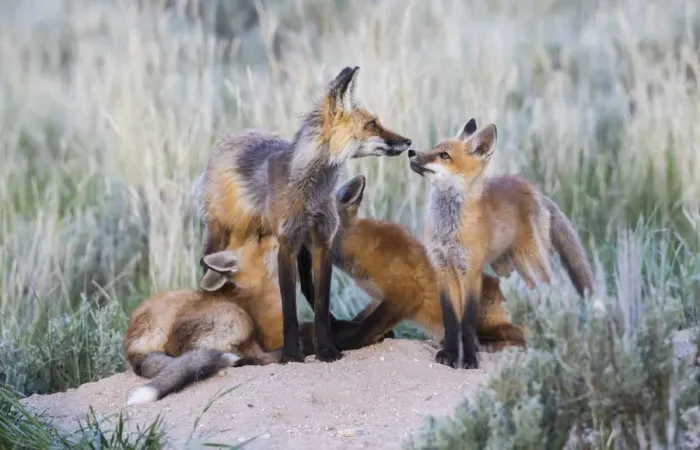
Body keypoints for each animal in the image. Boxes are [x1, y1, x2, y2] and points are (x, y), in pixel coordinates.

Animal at [195, 66, 412, 363]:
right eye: (372, 124)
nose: (408, 141)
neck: (312, 190)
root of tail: (234, 137)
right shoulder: (285, 242)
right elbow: (288, 308)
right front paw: (290, 354)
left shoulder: (322, 239)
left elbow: (320, 302)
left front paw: (327, 349)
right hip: (220, 234)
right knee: (207, 271)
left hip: (302, 247)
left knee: (309, 289)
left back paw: (337, 327)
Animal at [328, 174, 526, 352]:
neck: (358, 246)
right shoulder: (377, 297)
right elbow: (359, 319)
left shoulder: (404, 292)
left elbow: (368, 326)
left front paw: (345, 344)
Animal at [407, 118, 594, 369]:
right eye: (434, 147)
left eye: (444, 155)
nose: (411, 151)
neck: (449, 227)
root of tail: (535, 191)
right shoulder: (442, 268)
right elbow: (451, 319)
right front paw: (449, 353)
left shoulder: (471, 271)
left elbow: (467, 320)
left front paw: (468, 358)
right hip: (507, 270)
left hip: (533, 265)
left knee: (556, 293)